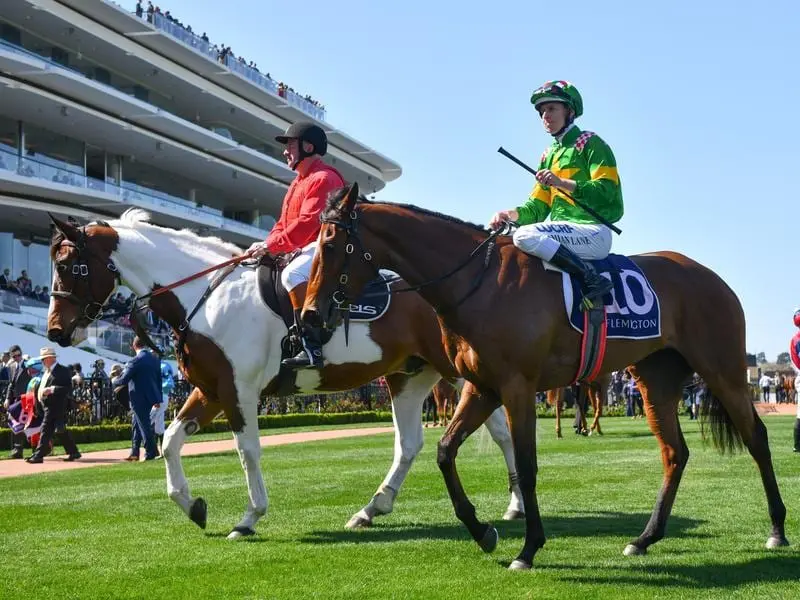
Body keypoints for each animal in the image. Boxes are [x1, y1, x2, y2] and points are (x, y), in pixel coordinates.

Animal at [47, 210, 528, 540]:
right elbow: (170, 442)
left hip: (461, 374)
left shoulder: (238, 391)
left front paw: (249, 517)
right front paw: (192, 505)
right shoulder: (210, 389)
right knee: (410, 444)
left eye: (72, 267)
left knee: (500, 431)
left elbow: (248, 452)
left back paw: (516, 503)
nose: (55, 331)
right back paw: (373, 507)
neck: (209, 297)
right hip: (410, 378)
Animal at [304, 185, 792, 568]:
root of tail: (710, 276)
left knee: (756, 438)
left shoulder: (517, 387)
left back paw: (777, 530)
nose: (309, 314)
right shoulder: (482, 387)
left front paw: (528, 548)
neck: (480, 283)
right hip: (656, 382)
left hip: (724, 371)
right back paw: (644, 538)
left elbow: (526, 465)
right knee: (675, 453)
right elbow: (445, 451)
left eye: (329, 245)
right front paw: (483, 531)